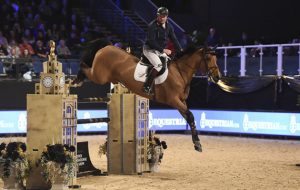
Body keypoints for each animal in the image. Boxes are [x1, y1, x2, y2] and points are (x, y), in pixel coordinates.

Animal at [74, 42, 221, 152]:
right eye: (208, 59)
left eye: (216, 59)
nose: (217, 77)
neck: (180, 73)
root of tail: (106, 47)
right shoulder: (174, 100)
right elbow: (190, 115)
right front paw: (197, 143)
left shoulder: (181, 102)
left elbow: (190, 117)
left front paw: (197, 144)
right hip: (99, 76)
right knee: (84, 66)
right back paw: (76, 80)